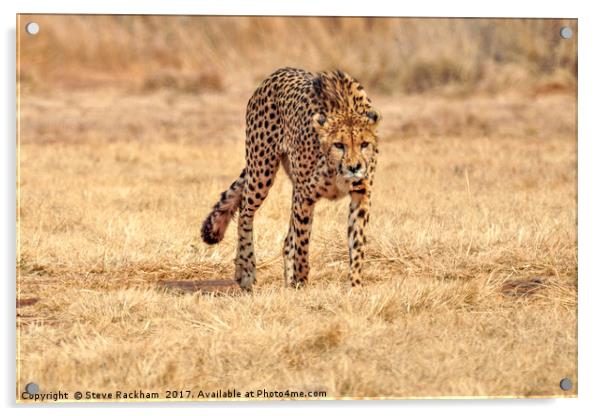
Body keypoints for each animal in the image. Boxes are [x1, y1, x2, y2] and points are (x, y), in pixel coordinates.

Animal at [202, 68, 380, 290]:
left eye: (364, 144)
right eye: (339, 145)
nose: (354, 167)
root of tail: (279, 71)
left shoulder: (361, 195)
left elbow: (357, 243)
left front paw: (355, 286)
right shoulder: (306, 197)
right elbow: (302, 246)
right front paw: (301, 284)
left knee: (287, 240)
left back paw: (286, 281)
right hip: (262, 171)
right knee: (245, 212)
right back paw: (246, 270)